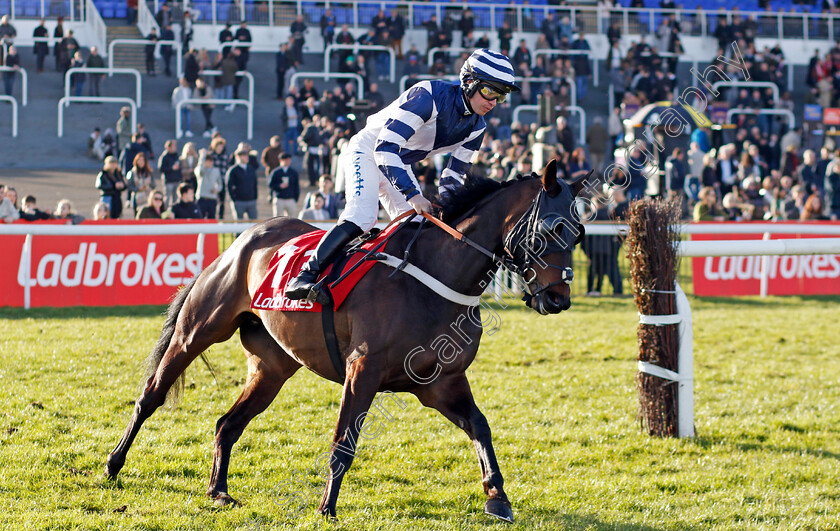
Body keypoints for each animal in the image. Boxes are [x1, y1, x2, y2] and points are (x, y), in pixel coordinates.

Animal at [106, 159, 584, 524]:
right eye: (553, 226)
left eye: (579, 232)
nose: (558, 299)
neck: (436, 277)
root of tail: (244, 238)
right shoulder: (363, 370)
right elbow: (343, 442)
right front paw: (326, 508)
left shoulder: (443, 382)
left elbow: (480, 427)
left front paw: (497, 497)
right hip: (199, 330)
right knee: (150, 395)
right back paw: (113, 465)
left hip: (272, 367)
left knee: (228, 424)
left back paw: (219, 490)